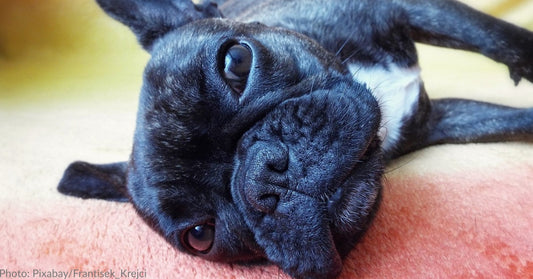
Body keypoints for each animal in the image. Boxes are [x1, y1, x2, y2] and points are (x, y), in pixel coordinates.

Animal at [57, 1, 532, 278]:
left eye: (236, 60)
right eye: (200, 235)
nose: (263, 175)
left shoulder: (405, 8)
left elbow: (501, 38)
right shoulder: (439, 121)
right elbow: (509, 120)